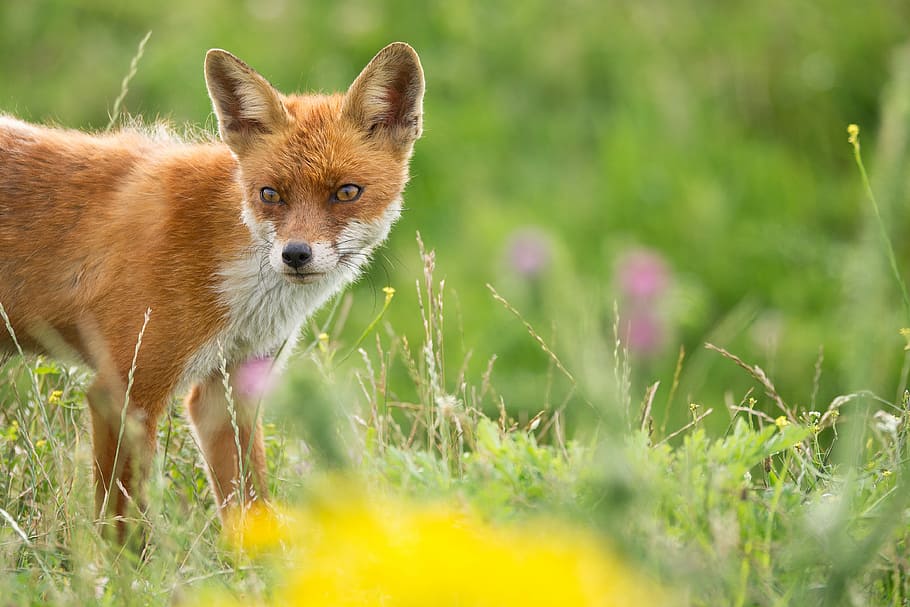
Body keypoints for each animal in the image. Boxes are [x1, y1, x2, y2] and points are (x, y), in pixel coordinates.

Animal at [0, 42, 424, 535]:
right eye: (270, 194)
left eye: (346, 192)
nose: (295, 255)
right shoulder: (123, 392)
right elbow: (123, 525)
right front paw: (121, 560)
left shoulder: (229, 393)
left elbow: (251, 506)